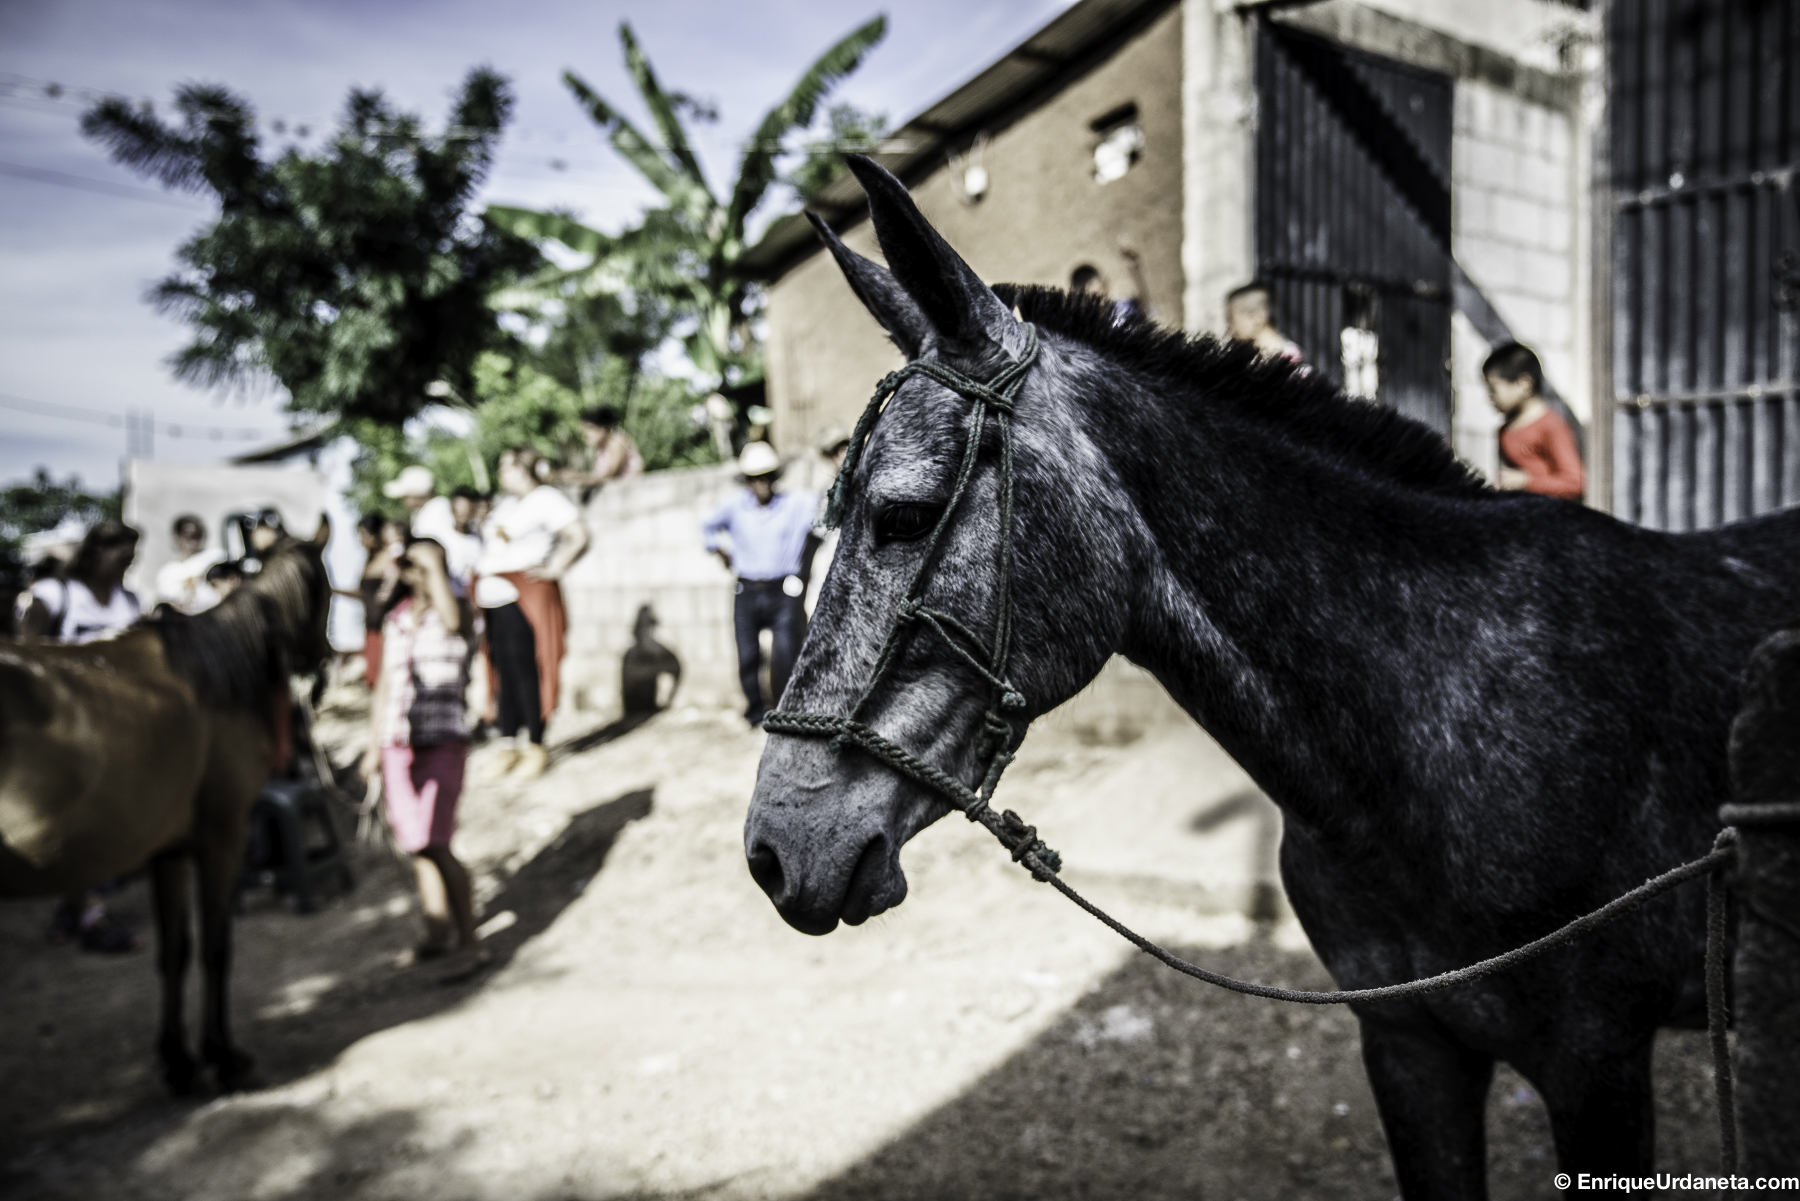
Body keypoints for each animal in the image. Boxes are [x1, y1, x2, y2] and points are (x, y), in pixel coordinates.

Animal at [0, 522, 334, 1094]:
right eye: (329, 589)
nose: (322, 659)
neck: (217, 670)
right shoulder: (223, 835)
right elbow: (216, 947)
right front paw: (222, 1054)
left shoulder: (167, 848)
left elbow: (174, 952)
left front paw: (178, 1058)